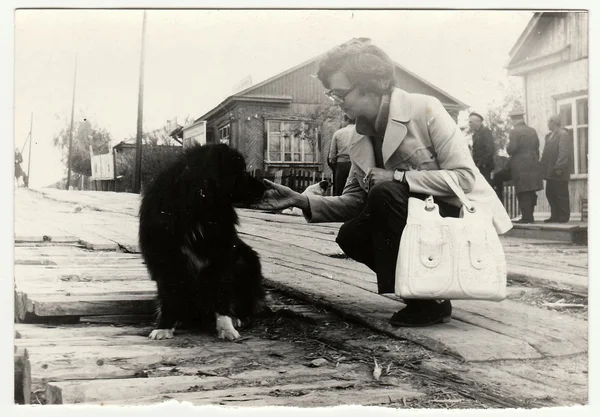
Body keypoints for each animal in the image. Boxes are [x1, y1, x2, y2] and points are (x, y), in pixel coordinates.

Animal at [138, 142, 270, 338]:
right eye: (240, 172)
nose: (265, 187)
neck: (198, 210)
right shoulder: (166, 261)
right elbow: (169, 296)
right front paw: (164, 326)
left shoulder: (222, 258)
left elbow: (221, 294)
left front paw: (226, 328)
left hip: (246, 261)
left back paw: (238, 318)